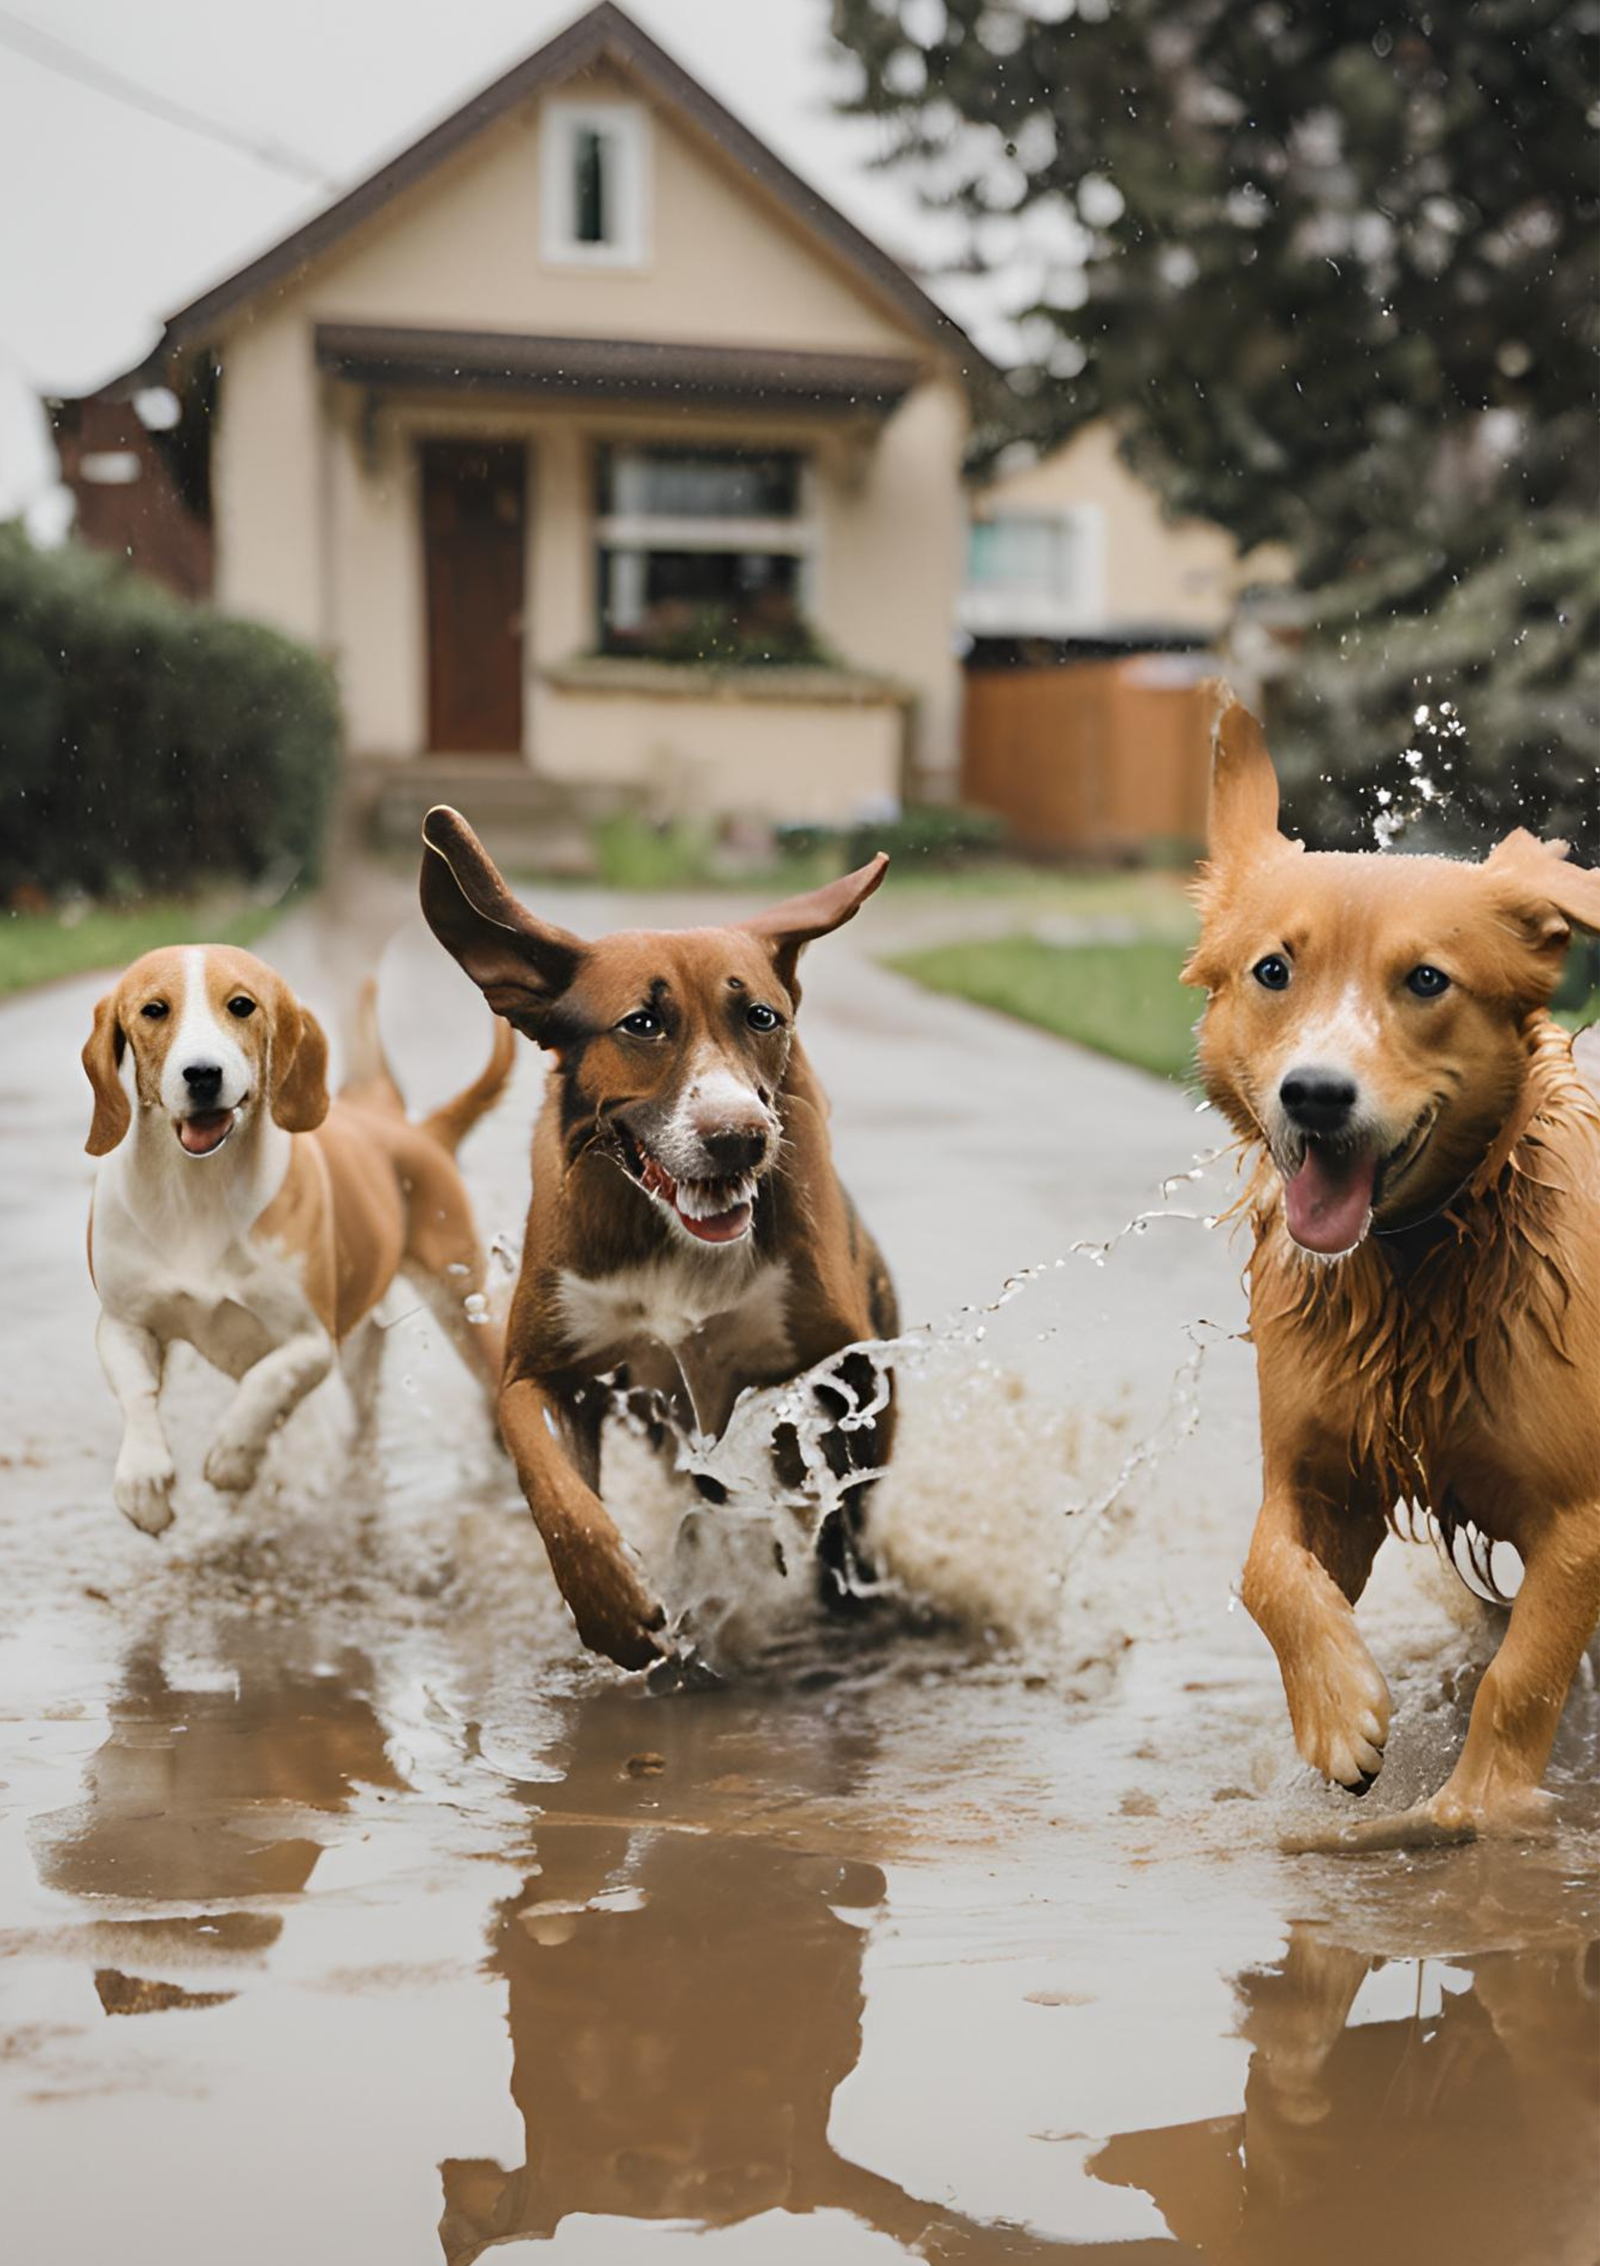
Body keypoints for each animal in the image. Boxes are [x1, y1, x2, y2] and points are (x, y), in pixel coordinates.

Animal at [81, 929, 512, 1531]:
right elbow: (137, 1392)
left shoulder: (310, 1342)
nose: (202, 1074)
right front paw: (143, 1479)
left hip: (463, 1304)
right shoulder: (124, 1322)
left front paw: (234, 1456)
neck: (198, 1190)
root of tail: (417, 1128)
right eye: (154, 1010)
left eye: (241, 1005)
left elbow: (266, 1385)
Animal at [416, 806, 897, 1676]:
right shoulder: (542, 1368)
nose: (739, 1137)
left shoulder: (839, 1358)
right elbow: (553, 1486)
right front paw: (609, 1607)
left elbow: (830, 1480)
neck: (672, 1239)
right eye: (642, 1024)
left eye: (761, 1016)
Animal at [1178, 688, 1595, 1839]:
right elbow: (1264, 1571)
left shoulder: (1580, 1519)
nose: (1317, 1093)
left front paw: (1474, 1808)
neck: (1416, 1264)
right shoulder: (1319, 1468)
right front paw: (1339, 1715)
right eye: (1274, 970)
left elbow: (1523, 1675)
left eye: (1425, 980)